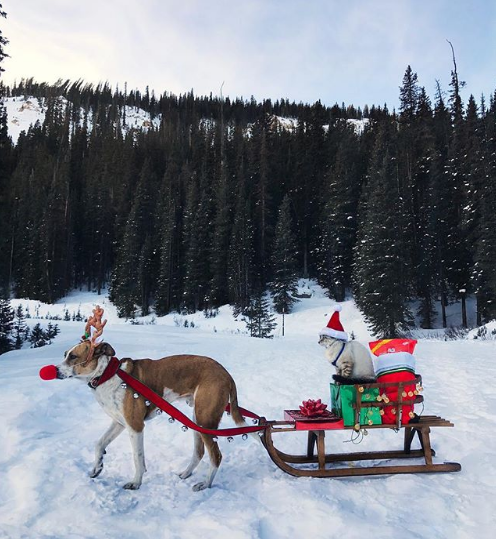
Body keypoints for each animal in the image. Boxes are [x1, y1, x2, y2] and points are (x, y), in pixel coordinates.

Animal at [56, 344, 250, 492]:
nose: (56, 370)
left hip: (205, 420)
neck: (108, 375)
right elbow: (99, 444)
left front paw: (136, 482)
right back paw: (186, 473)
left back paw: (205, 484)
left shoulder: (135, 426)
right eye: (65, 354)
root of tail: (226, 374)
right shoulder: (119, 423)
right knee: (199, 452)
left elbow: (137, 457)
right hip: (197, 419)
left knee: (216, 456)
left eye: (73, 356)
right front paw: (97, 467)